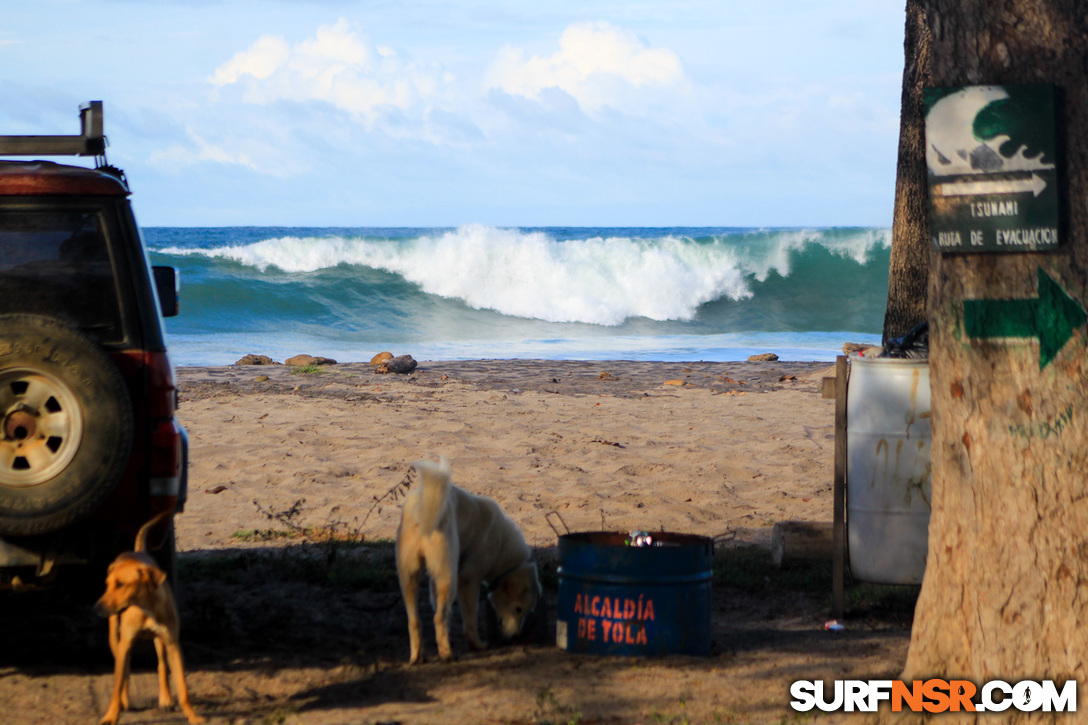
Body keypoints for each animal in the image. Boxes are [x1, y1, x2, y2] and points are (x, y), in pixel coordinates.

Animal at [94, 507, 203, 722]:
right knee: (125, 669)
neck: (146, 608)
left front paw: (193, 717)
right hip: (115, 638)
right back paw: (125, 700)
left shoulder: (173, 644)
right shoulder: (125, 642)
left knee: (161, 665)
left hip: (159, 641)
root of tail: (137, 551)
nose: (97, 608)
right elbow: (117, 684)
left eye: (121, 584)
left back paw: (165, 699)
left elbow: (182, 688)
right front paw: (111, 715)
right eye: (107, 585)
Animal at [396, 457, 539, 661]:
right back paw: (446, 654)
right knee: (439, 617)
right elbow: (470, 619)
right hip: (449, 577)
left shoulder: (435, 581)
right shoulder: (469, 578)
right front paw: (476, 645)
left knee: (414, 621)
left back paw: (418, 657)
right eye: (518, 609)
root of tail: (421, 511)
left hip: (409, 577)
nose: (515, 638)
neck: (501, 544)